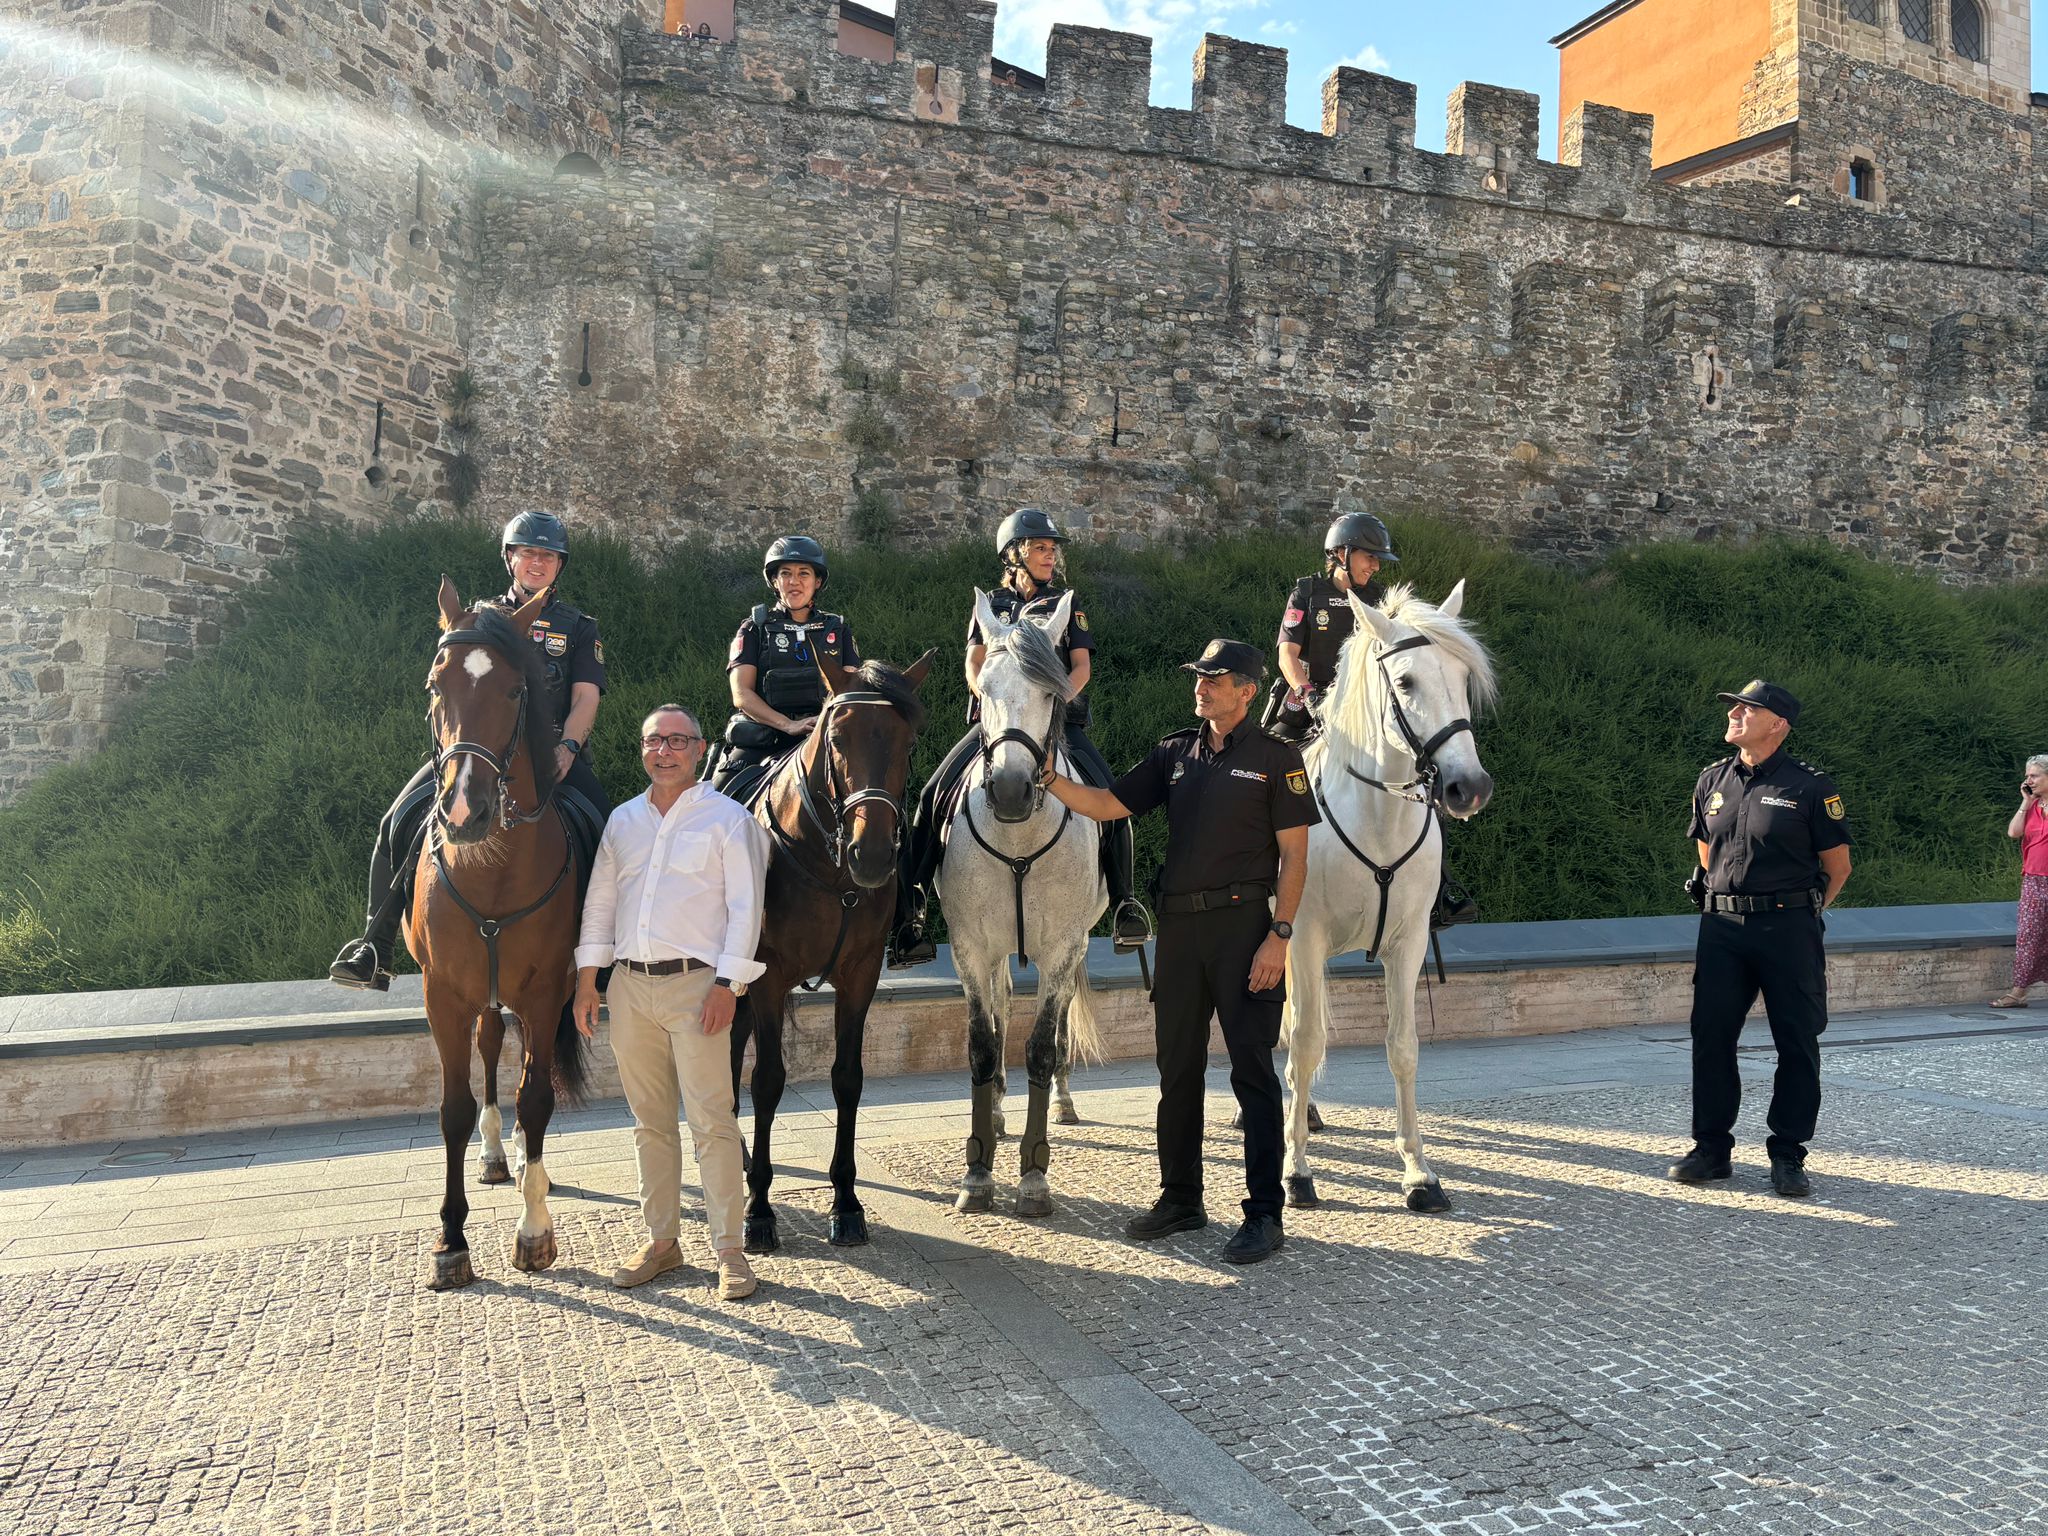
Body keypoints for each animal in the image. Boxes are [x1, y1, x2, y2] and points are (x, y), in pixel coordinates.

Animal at [405, 581, 585, 1294]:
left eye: (515, 691)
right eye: (435, 685)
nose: (464, 811)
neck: (495, 869)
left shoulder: (545, 993)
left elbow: (535, 1099)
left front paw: (534, 1232)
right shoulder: (443, 995)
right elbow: (452, 1108)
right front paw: (451, 1239)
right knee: (485, 1049)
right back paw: (490, 1153)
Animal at [729, 643, 937, 1253]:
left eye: (906, 742)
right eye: (837, 738)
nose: (873, 854)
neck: (829, 868)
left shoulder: (859, 974)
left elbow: (847, 1079)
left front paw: (845, 1201)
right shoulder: (768, 975)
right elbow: (767, 1082)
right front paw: (758, 1211)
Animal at [942, 585, 1105, 1212]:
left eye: (1050, 690)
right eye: (984, 687)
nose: (1010, 789)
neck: (1019, 837)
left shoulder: (1062, 945)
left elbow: (1039, 1045)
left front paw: (1034, 1177)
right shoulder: (969, 946)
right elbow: (983, 1045)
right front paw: (977, 1173)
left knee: (1052, 1030)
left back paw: (1062, 1099)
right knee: (1001, 1005)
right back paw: (996, 1109)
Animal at [1286, 581, 1499, 1220]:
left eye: (1463, 677)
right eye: (1405, 682)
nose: (1469, 787)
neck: (1376, 816)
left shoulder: (1406, 945)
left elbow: (1403, 1048)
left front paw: (1419, 1173)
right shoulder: (1302, 939)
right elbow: (1306, 1043)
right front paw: (1296, 1171)